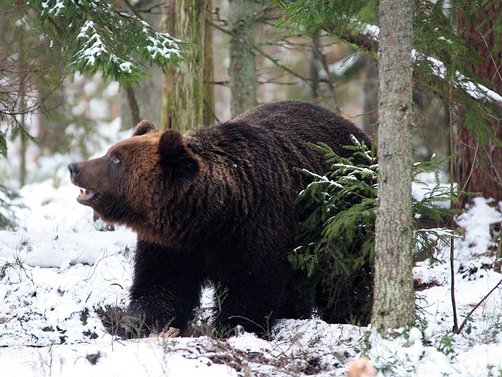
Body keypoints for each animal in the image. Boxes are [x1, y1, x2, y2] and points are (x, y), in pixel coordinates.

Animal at [67, 100, 368, 334]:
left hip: (339, 223)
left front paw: (234, 326)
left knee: (347, 279)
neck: (211, 218)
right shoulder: (171, 246)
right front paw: (138, 322)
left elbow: (250, 288)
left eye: (116, 158)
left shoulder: (258, 228)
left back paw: (351, 316)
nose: (74, 166)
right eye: (111, 151)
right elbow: (161, 284)